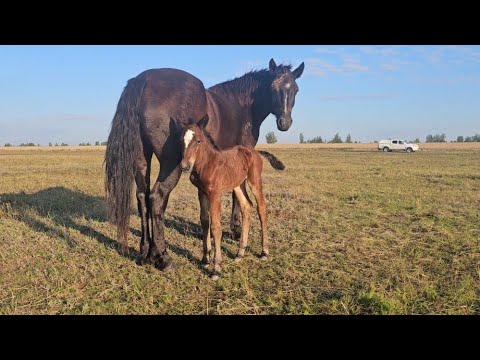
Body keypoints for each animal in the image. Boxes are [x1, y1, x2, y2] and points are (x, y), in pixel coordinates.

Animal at [181, 116, 270, 280]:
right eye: (181, 139)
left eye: (198, 140)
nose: (184, 166)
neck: (206, 164)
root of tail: (253, 152)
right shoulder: (201, 192)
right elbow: (205, 222)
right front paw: (205, 259)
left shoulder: (215, 194)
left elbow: (216, 227)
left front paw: (216, 268)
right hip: (238, 184)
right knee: (246, 206)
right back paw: (240, 253)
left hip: (254, 180)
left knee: (261, 208)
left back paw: (264, 252)